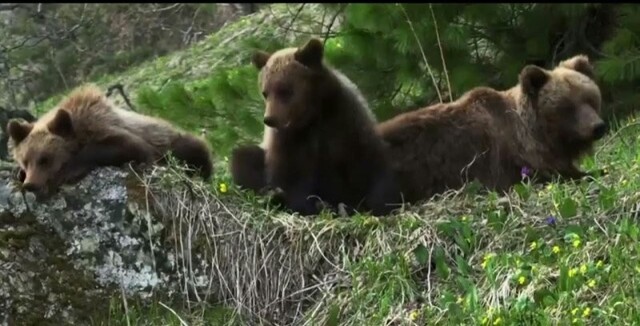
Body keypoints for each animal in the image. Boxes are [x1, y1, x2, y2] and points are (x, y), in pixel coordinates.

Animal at [6, 83, 215, 197]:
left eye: (45, 159)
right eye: (25, 161)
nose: (31, 184)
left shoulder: (108, 128)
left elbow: (130, 147)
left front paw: (68, 171)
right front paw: (18, 174)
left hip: (175, 141)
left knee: (195, 150)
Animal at [230, 37, 400, 216]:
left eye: (285, 91)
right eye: (265, 92)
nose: (269, 119)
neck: (311, 117)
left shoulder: (344, 120)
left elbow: (368, 166)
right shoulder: (287, 142)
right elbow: (288, 174)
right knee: (245, 156)